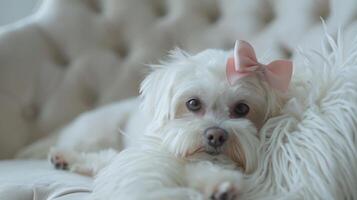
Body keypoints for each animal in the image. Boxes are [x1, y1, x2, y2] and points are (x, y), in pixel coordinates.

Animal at [48, 39, 292, 199]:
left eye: (242, 108)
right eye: (193, 103)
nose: (216, 135)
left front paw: (220, 185)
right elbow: (106, 159)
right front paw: (70, 158)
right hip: (95, 135)